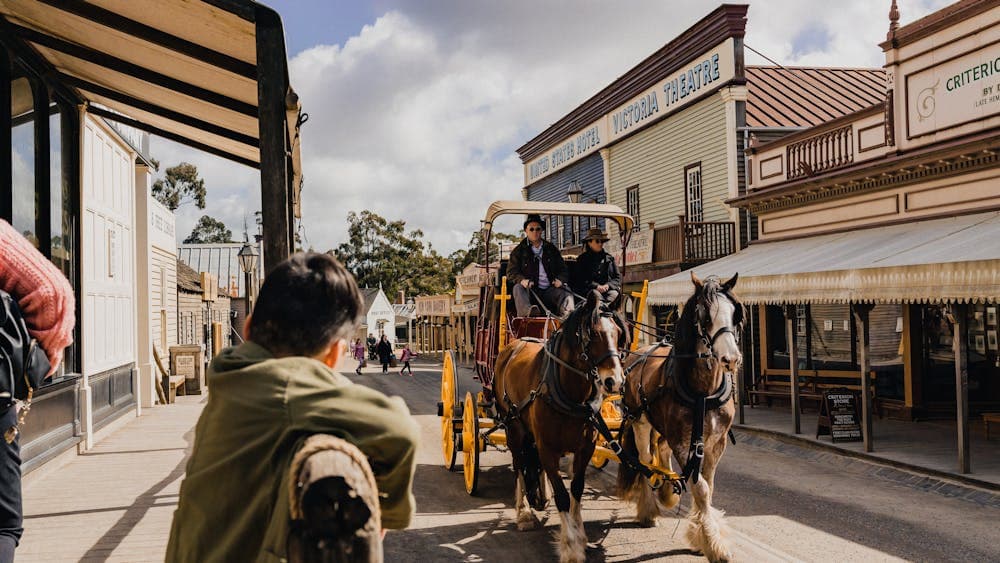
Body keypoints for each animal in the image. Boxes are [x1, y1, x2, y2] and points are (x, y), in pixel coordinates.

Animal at [496, 290, 628, 563]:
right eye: (594, 334)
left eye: (619, 333)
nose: (615, 381)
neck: (570, 393)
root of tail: (514, 344)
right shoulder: (547, 448)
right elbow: (562, 496)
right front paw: (570, 546)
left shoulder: (585, 448)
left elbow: (576, 489)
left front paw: (581, 535)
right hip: (513, 426)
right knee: (518, 464)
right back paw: (524, 512)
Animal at [612, 272, 748, 560]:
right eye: (705, 317)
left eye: (735, 315)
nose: (731, 359)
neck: (702, 394)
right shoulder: (684, 443)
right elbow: (701, 488)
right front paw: (713, 544)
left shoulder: (715, 443)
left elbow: (708, 486)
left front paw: (701, 535)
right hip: (640, 421)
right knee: (644, 460)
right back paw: (649, 509)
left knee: (661, 452)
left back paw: (665, 491)